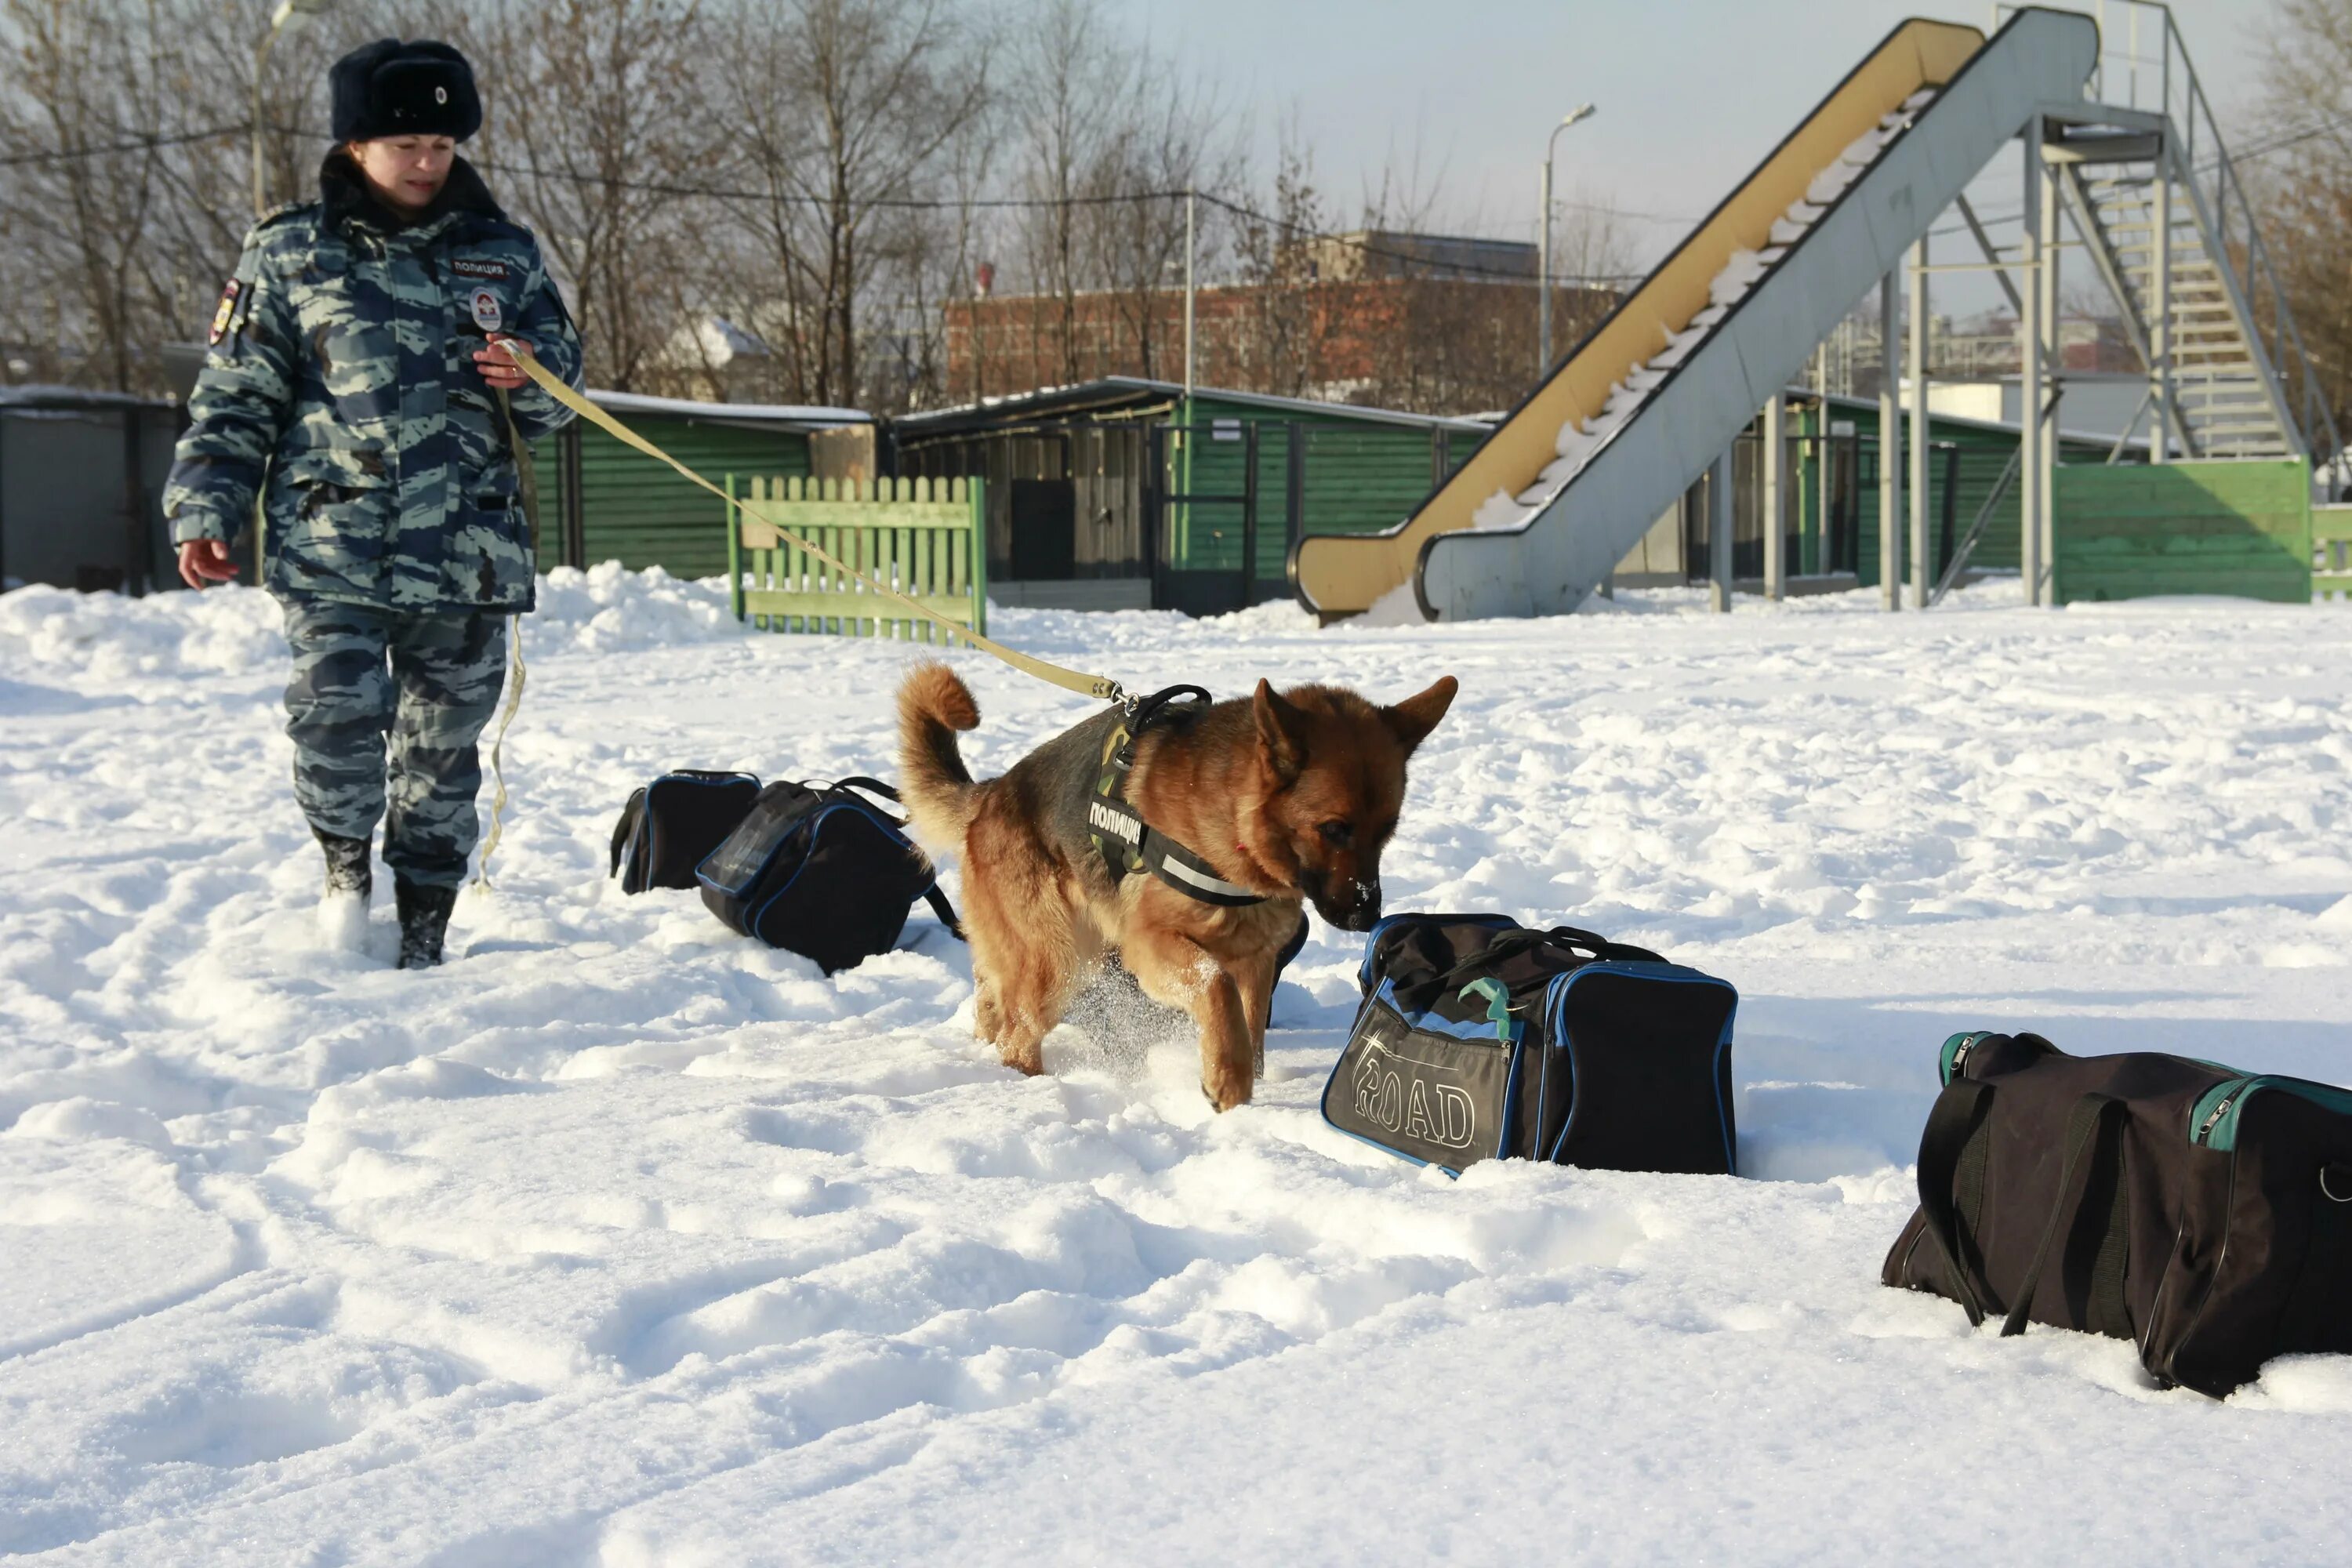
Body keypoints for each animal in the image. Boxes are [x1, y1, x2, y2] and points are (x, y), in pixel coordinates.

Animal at [894, 667, 1449, 1109]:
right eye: (1334, 829)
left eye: (1389, 829)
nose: (1366, 917)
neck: (1233, 825)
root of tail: (989, 795)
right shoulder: (1150, 946)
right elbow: (1216, 987)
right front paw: (1227, 1083)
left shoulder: (1256, 958)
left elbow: (1251, 1026)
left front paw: (1245, 1085)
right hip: (1062, 959)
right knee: (1016, 1039)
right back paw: (1042, 1092)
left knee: (993, 1012)